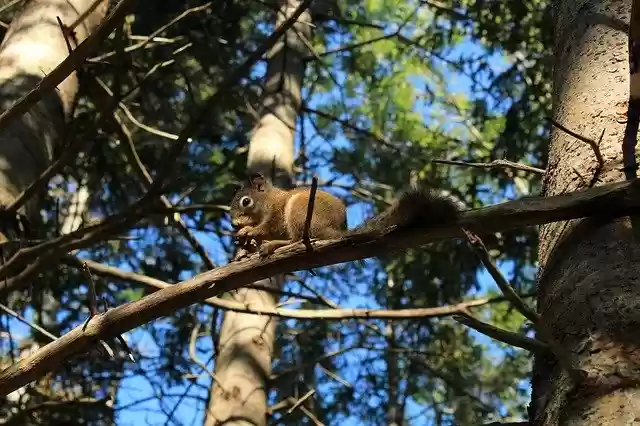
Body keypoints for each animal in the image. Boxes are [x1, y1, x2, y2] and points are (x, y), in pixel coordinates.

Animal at [230, 172, 462, 258]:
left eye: (245, 201)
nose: (233, 223)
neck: (267, 201)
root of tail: (334, 231)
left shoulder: (277, 212)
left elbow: (268, 227)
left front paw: (251, 231)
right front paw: (244, 236)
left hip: (299, 212)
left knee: (297, 240)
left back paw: (276, 245)